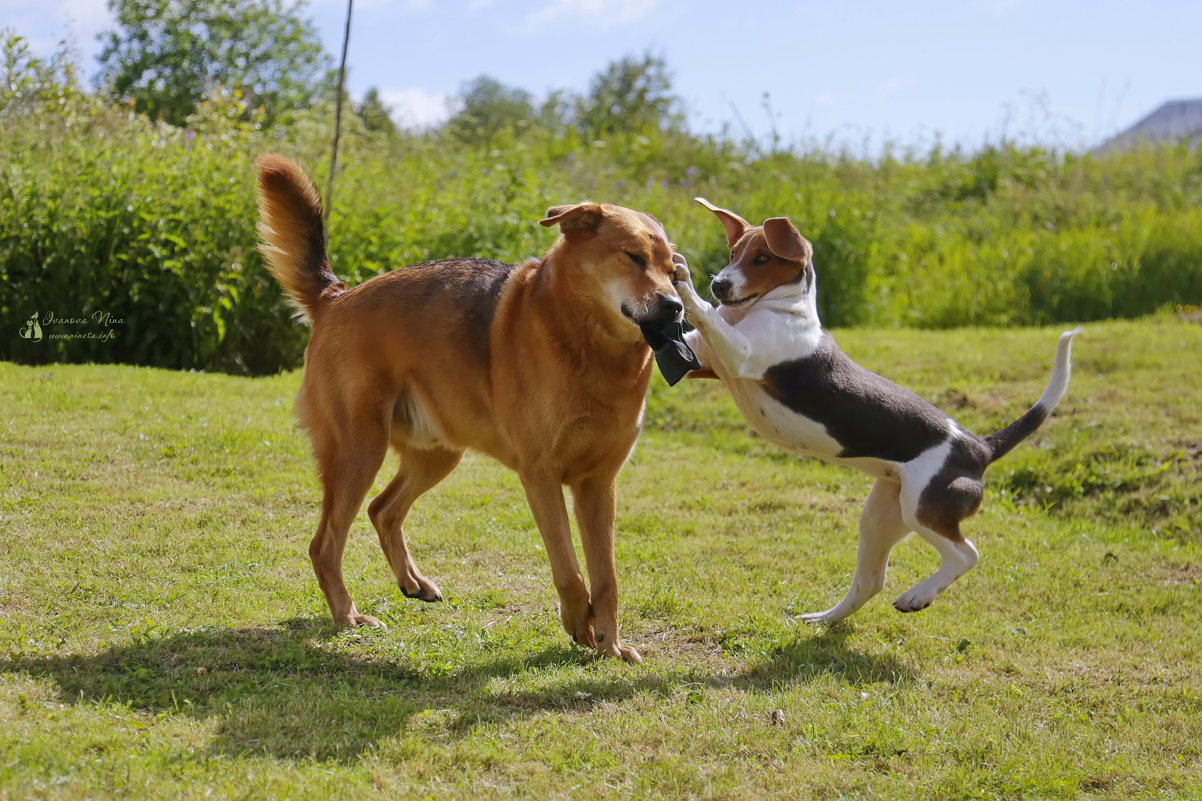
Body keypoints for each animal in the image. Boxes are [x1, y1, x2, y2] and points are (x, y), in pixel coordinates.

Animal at [253, 152, 687, 659]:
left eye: (673, 270)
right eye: (633, 257)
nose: (675, 307)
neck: (588, 343)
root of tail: (336, 295)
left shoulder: (598, 486)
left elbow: (607, 578)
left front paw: (609, 646)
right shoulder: (541, 477)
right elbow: (569, 569)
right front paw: (580, 624)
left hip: (437, 454)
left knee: (382, 509)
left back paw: (413, 582)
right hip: (360, 450)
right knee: (325, 544)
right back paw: (348, 616)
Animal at [677, 199, 1081, 625]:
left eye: (763, 258)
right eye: (732, 254)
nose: (719, 284)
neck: (780, 308)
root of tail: (980, 447)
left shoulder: (741, 353)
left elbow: (707, 313)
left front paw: (682, 278)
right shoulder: (699, 358)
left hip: (923, 508)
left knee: (966, 555)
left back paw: (918, 596)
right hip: (882, 516)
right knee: (870, 582)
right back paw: (825, 619)